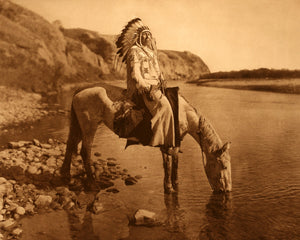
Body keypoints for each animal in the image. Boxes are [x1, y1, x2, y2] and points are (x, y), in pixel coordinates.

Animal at [59, 86, 231, 193]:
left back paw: (65, 175)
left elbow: (174, 164)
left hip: (78, 125)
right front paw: (169, 188)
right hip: (89, 126)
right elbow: (168, 165)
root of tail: (79, 91)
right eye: (223, 166)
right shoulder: (167, 144)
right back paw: (92, 184)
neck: (181, 114)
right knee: (85, 151)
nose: (227, 191)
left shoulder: (174, 144)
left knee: (70, 144)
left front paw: (174, 186)